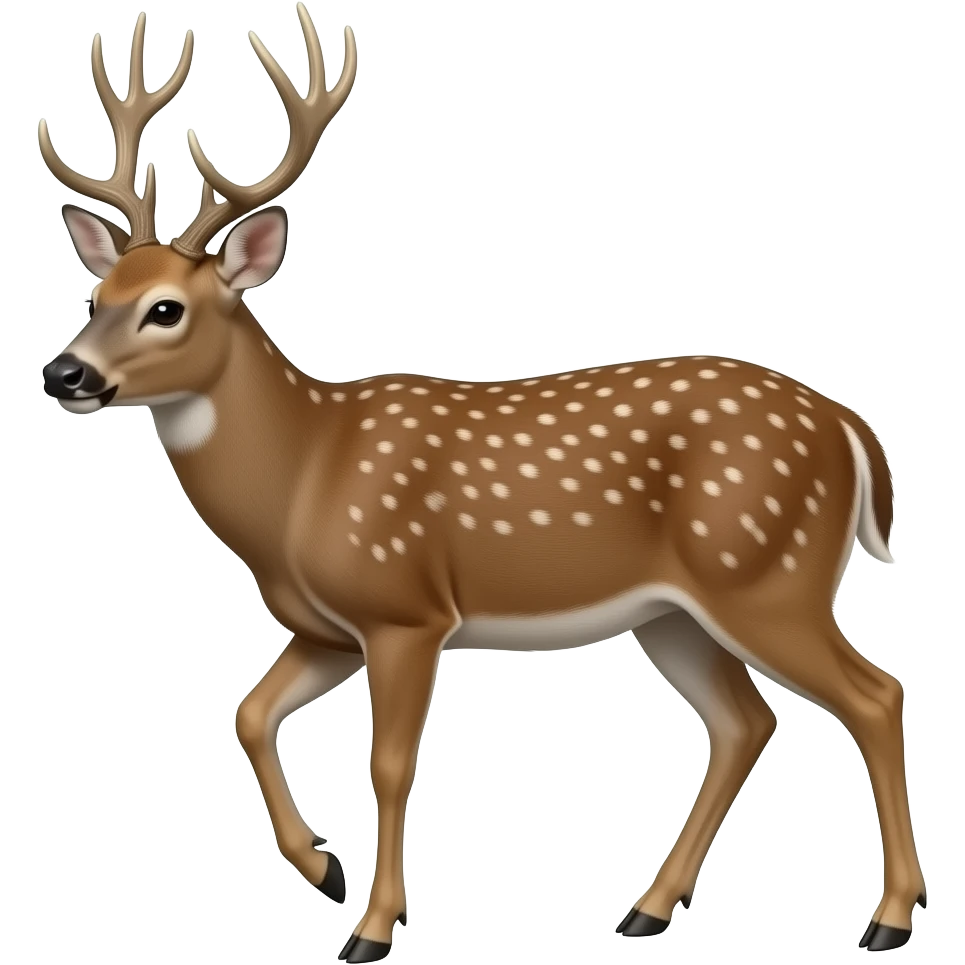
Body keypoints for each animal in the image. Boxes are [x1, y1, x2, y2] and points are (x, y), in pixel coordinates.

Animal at [37, 7, 923, 962]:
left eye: (166, 308)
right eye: (97, 293)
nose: (64, 373)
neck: (307, 474)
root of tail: (850, 430)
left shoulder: (405, 607)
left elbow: (389, 765)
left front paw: (372, 926)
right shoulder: (327, 627)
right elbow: (248, 712)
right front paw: (323, 866)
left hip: (767, 575)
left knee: (873, 694)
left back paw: (886, 916)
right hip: (676, 611)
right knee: (744, 722)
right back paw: (645, 909)